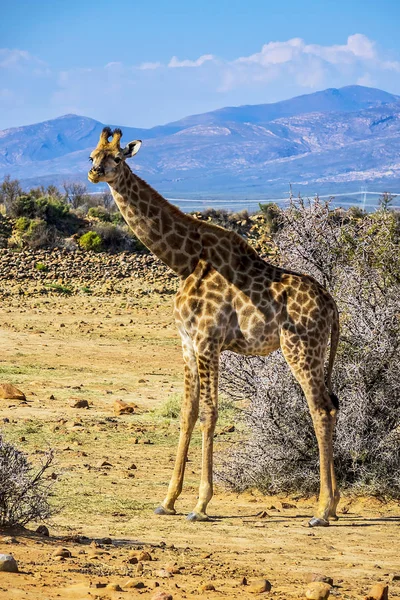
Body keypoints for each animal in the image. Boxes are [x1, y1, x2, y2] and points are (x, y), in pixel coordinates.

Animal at [88, 126, 340, 524]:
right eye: (92, 155)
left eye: (117, 157)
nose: (94, 173)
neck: (185, 261)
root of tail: (331, 304)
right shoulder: (187, 343)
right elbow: (187, 414)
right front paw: (168, 500)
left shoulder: (208, 341)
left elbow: (209, 414)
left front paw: (201, 505)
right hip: (315, 352)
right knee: (333, 404)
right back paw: (337, 503)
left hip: (301, 348)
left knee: (321, 410)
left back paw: (322, 509)